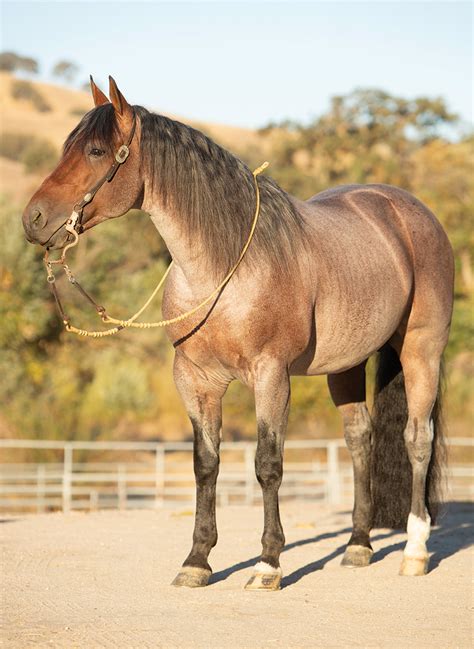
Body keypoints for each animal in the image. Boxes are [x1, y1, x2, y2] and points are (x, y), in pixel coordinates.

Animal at [23, 76, 454, 590]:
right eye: (67, 147)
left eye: (94, 150)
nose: (33, 220)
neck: (223, 267)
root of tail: (408, 210)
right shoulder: (196, 380)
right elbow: (205, 465)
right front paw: (197, 560)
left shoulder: (270, 376)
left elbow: (267, 464)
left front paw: (267, 563)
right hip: (345, 366)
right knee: (360, 440)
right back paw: (357, 546)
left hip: (421, 351)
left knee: (417, 439)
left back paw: (414, 551)